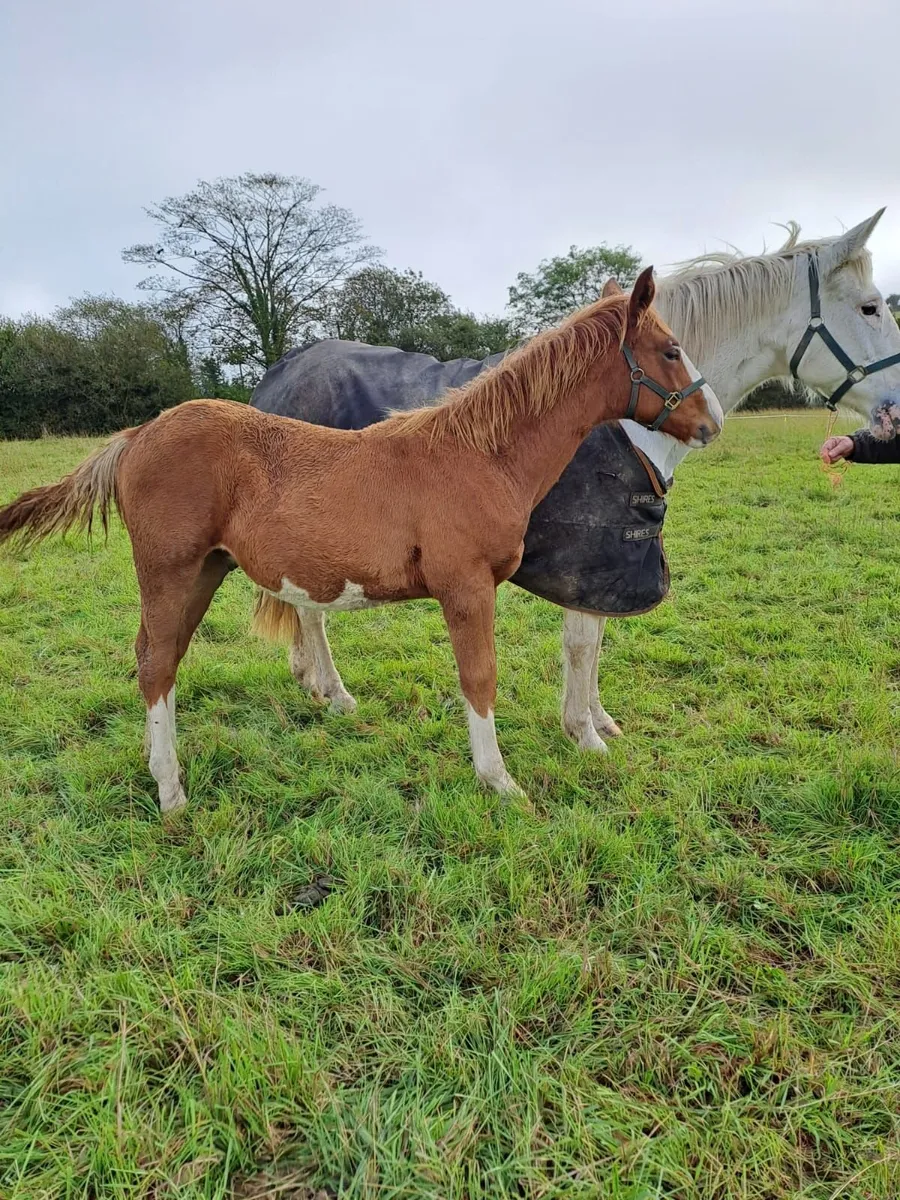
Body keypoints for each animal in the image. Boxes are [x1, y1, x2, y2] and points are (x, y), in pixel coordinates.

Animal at [0, 270, 722, 811]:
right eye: (668, 350)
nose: (711, 421)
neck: (480, 455)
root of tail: (136, 435)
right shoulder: (465, 588)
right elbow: (480, 679)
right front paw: (500, 783)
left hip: (204, 571)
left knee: (161, 657)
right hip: (170, 571)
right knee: (156, 664)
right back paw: (173, 792)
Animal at [251, 208, 900, 750]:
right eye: (870, 306)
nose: (895, 406)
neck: (619, 422)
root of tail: (279, 373)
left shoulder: (607, 562)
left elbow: (595, 642)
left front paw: (598, 720)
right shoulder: (590, 555)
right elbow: (584, 643)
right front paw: (585, 735)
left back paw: (310, 678)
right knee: (311, 610)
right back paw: (336, 692)